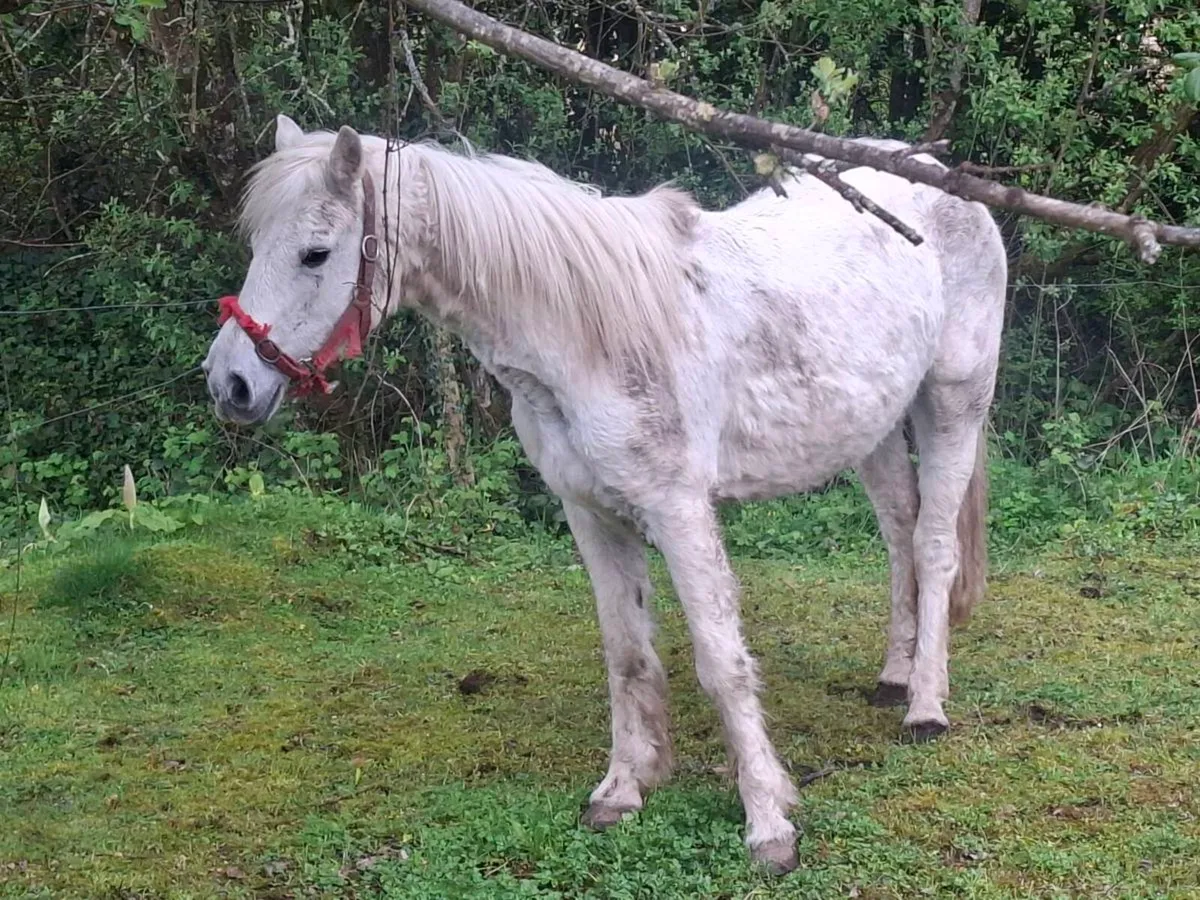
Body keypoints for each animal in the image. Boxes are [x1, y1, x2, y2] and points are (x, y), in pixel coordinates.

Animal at [202, 113, 1006, 874]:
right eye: (258, 242)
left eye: (315, 252)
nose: (230, 383)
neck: (585, 333)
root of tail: (941, 177)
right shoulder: (589, 513)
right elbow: (626, 654)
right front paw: (622, 789)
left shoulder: (679, 510)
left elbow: (721, 663)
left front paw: (768, 823)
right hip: (873, 431)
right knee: (899, 534)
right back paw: (895, 676)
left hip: (952, 403)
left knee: (933, 546)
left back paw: (925, 707)